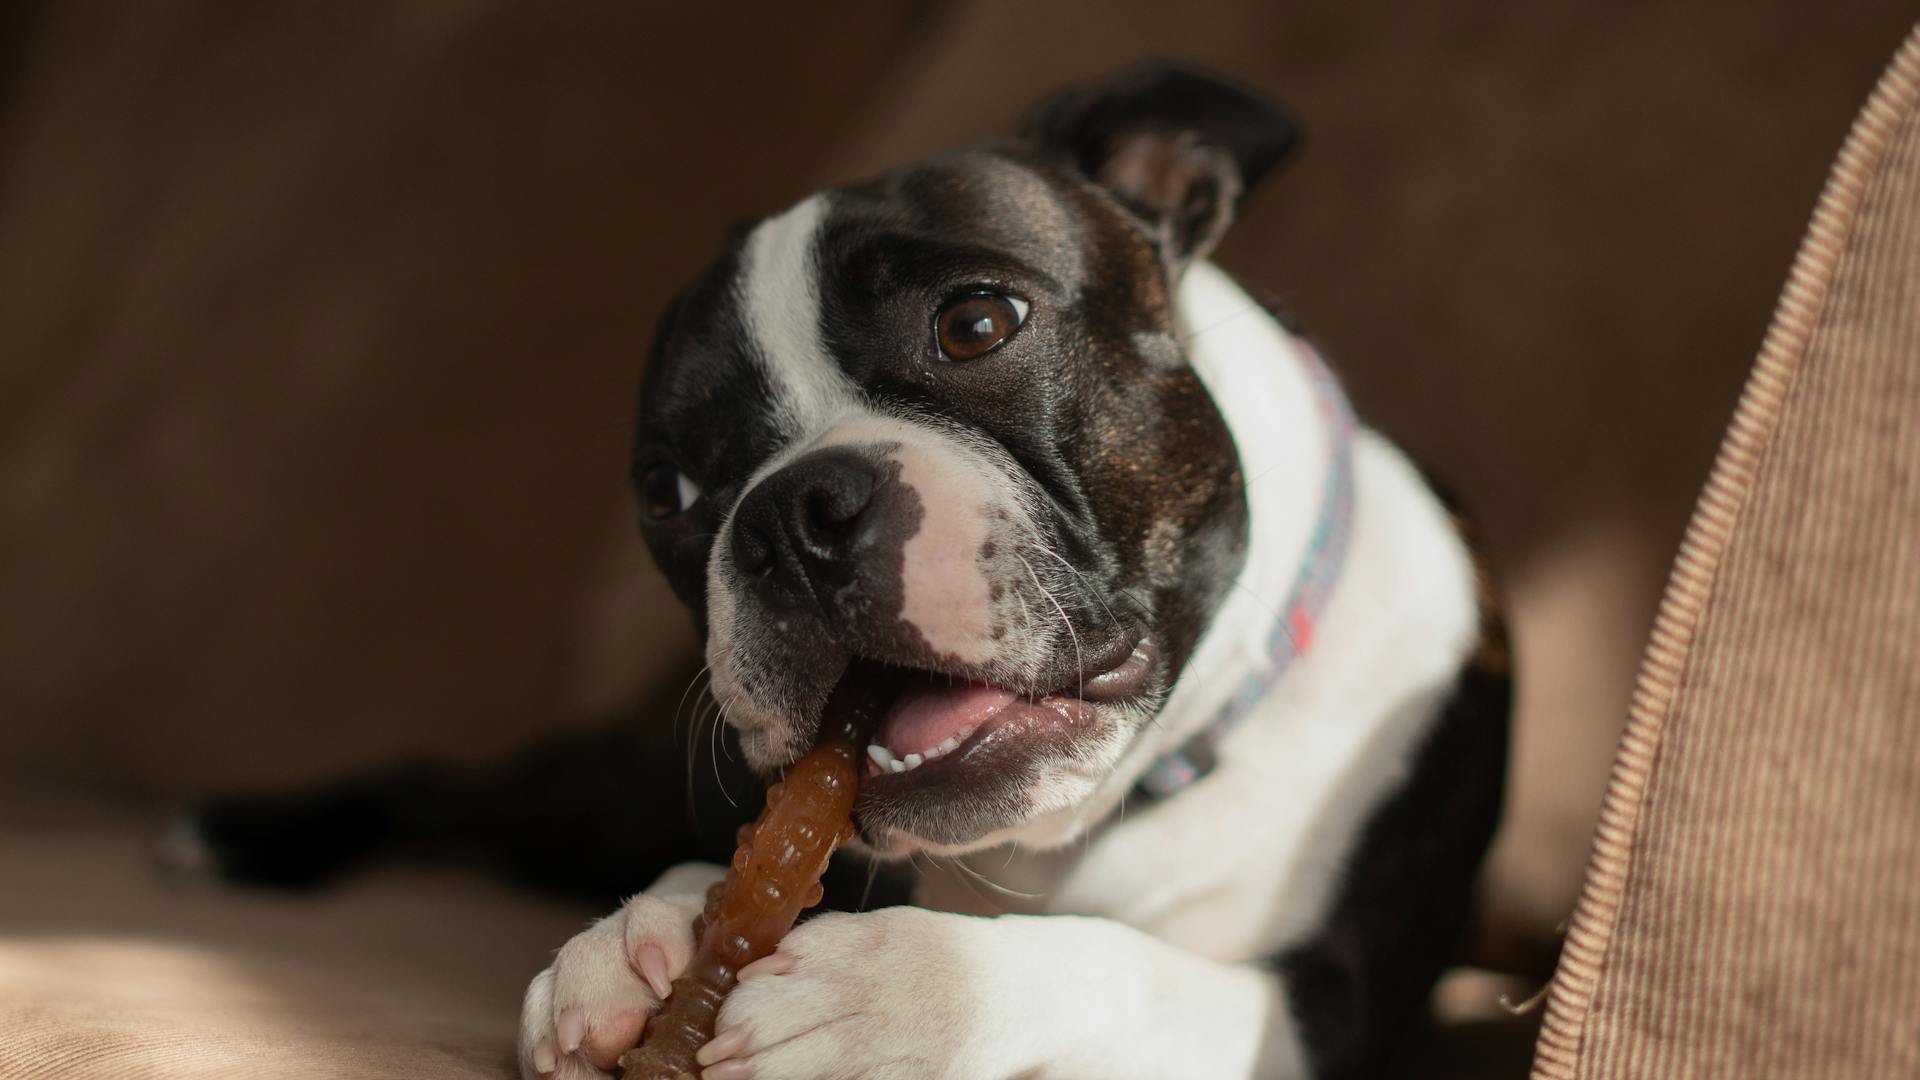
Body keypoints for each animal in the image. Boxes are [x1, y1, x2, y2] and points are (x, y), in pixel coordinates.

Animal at [180, 62, 1505, 1068]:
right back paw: (241, 834)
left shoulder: (1334, 1015)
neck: (1086, 824)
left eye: (978, 322)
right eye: (668, 490)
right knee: (446, 785)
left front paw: (900, 994)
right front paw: (635, 935)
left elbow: (1127, 967)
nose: (789, 517)